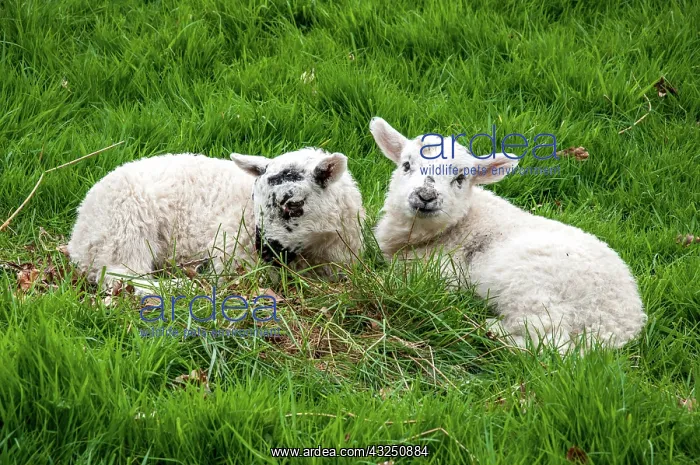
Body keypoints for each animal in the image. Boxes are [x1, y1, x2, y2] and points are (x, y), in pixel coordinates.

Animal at [67, 148, 365, 294]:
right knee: (121, 277)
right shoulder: (232, 251)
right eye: (254, 199)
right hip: (126, 226)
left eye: (292, 204)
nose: (264, 251)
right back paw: (181, 286)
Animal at [369, 117, 646, 353]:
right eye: (406, 165)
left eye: (460, 178)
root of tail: (620, 325)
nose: (425, 196)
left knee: (549, 343)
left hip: (536, 287)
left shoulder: (439, 272)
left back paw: (488, 329)